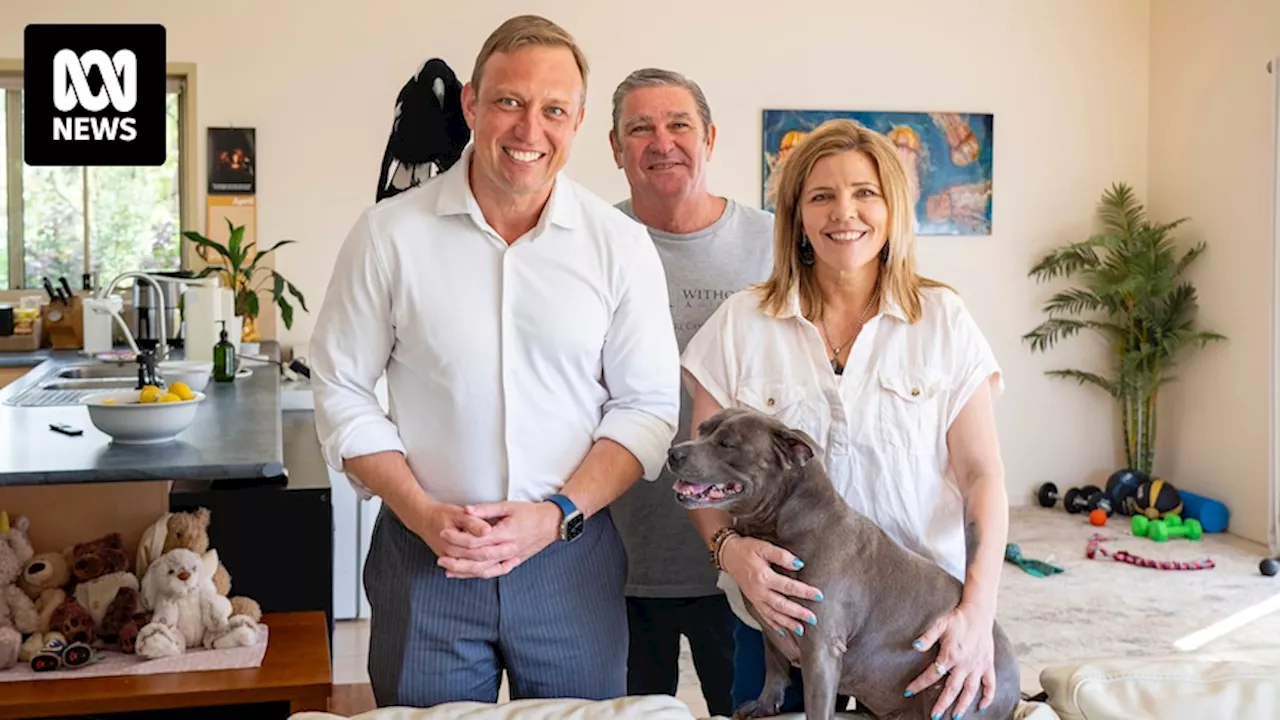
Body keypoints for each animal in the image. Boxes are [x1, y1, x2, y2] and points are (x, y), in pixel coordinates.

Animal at [670, 407, 1018, 712]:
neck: (783, 523)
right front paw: (765, 705)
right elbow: (774, 667)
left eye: (727, 443)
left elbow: (815, 707)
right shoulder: (772, 624)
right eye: (702, 429)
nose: (674, 452)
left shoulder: (820, 650)